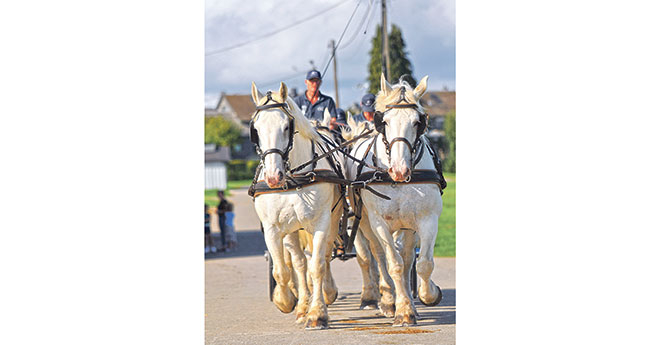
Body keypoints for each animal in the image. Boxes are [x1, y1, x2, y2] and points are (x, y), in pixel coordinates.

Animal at [248, 81, 340, 328]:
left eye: (286, 127)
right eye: (256, 130)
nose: (273, 177)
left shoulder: (321, 222)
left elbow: (317, 266)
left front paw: (317, 313)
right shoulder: (273, 228)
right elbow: (283, 270)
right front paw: (286, 301)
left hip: (333, 220)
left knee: (323, 256)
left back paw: (327, 293)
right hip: (293, 230)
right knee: (299, 263)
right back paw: (301, 305)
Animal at [346, 73, 444, 326]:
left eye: (418, 122)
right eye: (385, 122)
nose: (399, 170)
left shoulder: (428, 220)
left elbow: (423, 263)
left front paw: (428, 296)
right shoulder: (379, 223)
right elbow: (394, 265)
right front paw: (402, 311)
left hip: (407, 226)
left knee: (408, 256)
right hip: (366, 224)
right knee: (378, 256)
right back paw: (388, 300)